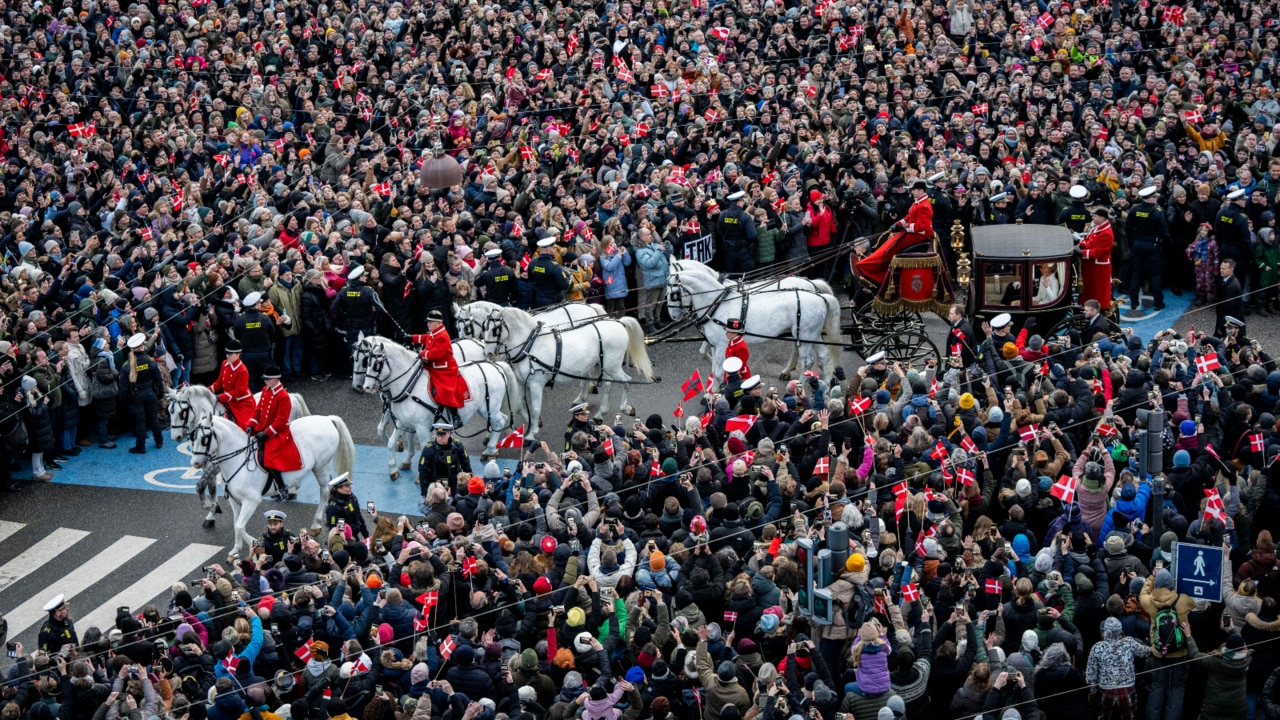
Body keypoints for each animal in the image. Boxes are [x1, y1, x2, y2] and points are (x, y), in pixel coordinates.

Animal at [167, 381, 312, 527]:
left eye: (182, 412)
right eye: (169, 411)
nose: (175, 437)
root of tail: (291, 395)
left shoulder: (216, 464)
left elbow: (200, 485)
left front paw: (212, 507)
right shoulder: (205, 463)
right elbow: (211, 487)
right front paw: (211, 514)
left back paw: (290, 491)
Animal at [186, 412, 355, 550]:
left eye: (204, 439)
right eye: (192, 438)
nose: (195, 463)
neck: (237, 460)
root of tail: (326, 419)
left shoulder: (251, 501)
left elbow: (240, 527)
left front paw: (255, 543)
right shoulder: (234, 501)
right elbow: (236, 525)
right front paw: (235, 551)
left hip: (321, 466)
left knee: (324, 490)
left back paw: (316, 524)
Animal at [355, 335, 519, 466]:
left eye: (375, 364)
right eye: (366, 362)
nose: (365, 387)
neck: (410, 386)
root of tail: (496, 366)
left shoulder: (421, 427)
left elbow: (423, 446)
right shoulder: (403, 421)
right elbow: (391, 440)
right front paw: (399, 463)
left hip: (489, 408)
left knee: (501, 421)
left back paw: (490, 449)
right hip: (487, 409)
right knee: (499, 421)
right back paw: (491, 448)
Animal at [473, 303, 655, 440]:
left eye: (495, 329)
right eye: (483, 328)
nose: (488, 353)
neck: (530, 345)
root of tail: (618, 323)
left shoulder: (536, 384)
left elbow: (536, 408)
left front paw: (532, 432)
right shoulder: (520, 381)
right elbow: (518, 405)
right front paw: (528, 424)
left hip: (613, 366)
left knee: (626, 381)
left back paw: (625, 408)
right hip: (604, 365)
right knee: (607, 385)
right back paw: (599, 411)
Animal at [670, 260, 839, 379]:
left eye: (673, 294)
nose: (673, 316)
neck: (719, 301)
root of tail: (816, 291)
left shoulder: (721, 341)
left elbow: (715, 365)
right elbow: (705, 354)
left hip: (804, 334)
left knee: (806, 359)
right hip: (810, 334)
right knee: (822, 356)